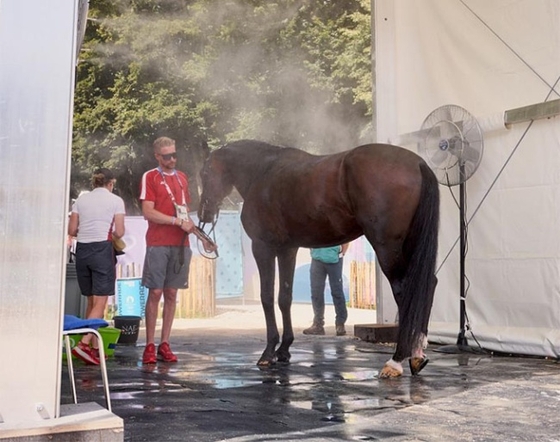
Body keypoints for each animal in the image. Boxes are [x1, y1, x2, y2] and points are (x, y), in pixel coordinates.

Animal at [197, 140, 438, 378]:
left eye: (205, 172)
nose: (202, 214)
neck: (263, 171)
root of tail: (418, 163)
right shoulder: (287, 249)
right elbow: (284, 297)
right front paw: (284, 350)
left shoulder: (263, 246)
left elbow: (267, 297)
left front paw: (268, 352)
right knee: (427, 284)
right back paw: (417, 354)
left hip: (387, 247)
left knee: (404, 290)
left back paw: (396, 360)